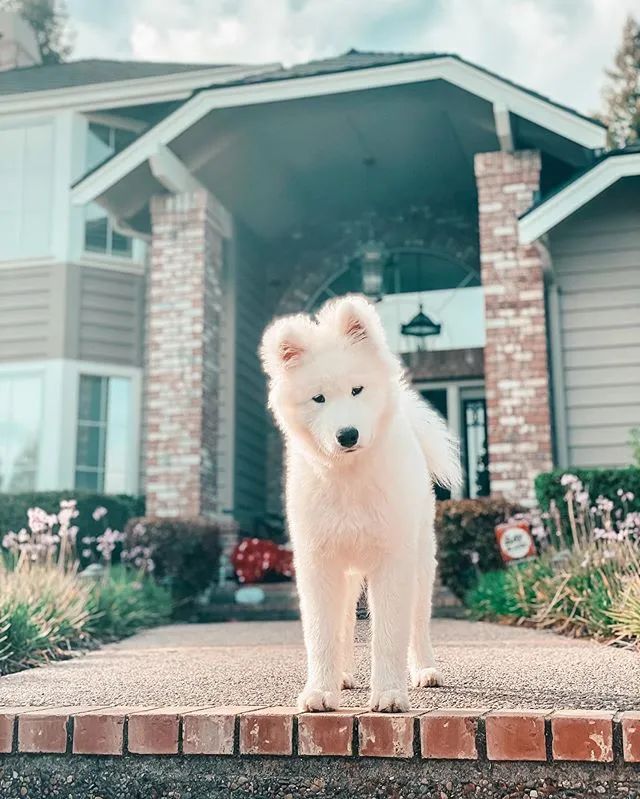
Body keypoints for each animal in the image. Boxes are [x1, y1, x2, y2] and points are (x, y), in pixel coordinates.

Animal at [258, 294, 460, 712]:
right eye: (318, 397)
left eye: (357, 390)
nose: (347, 434)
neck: (349, 479)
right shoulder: (318, 563)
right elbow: (322, 634)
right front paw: (320, 691)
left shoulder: (393, 561)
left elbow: (389, 635)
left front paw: (389, 694)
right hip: (348, 573)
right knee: (345, 623)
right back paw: (343, 676)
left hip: (421, 563)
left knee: (418, 623)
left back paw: (425, 670)